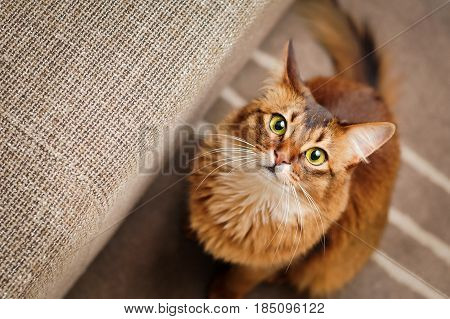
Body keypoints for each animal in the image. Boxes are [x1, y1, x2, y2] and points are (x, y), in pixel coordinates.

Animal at [188, 0, 400, 300]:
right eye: (278, 124)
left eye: (316, 156)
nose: (281, 158)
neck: (253, 203)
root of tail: (372, 92)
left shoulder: (276, 261)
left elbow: (241, 279)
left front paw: (220, 294)